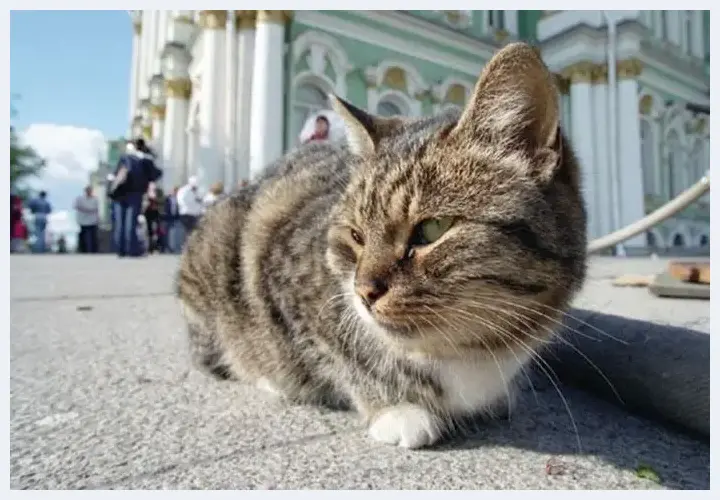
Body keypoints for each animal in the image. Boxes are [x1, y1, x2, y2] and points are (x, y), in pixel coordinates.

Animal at [177, 43, 588, 450]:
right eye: (356, 236)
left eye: (432, 229)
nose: (363, 292)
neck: (464, 350)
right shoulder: (284, 280)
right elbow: (345, 357)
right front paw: (397, 408)